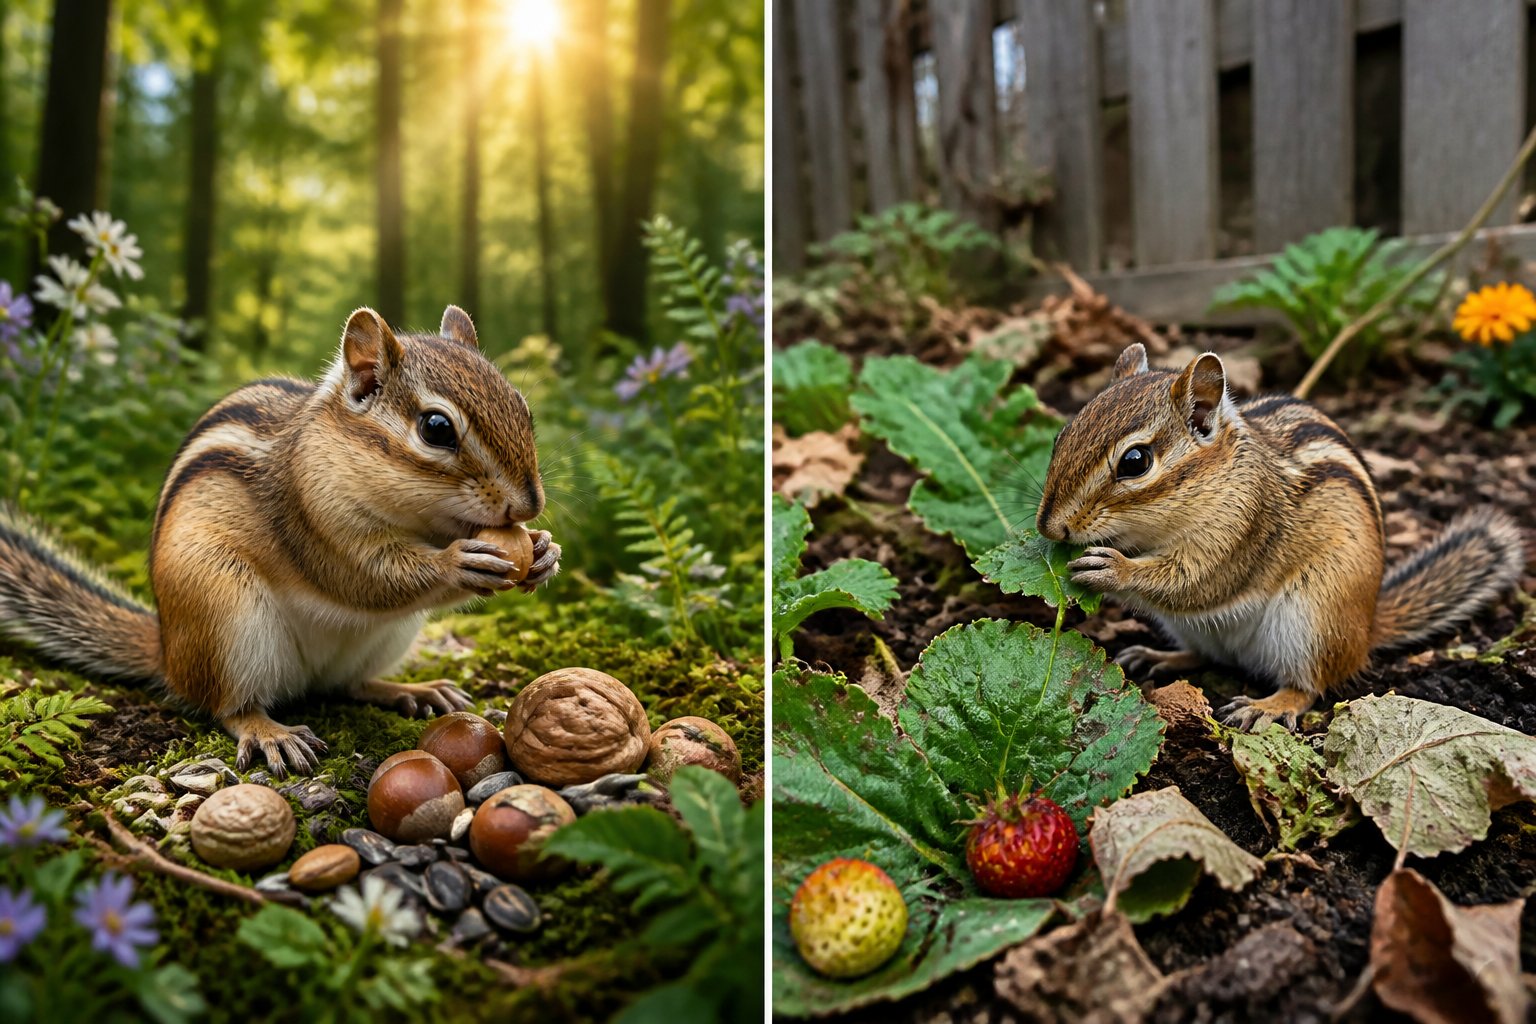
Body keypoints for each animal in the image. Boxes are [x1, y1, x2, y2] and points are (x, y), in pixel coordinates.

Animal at [0, 305, 561, 775]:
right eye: (437, 428)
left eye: (524, 408)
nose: (529, 505)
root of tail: (168, 652)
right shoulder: (312, 519)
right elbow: (369, 578)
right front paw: (458, 563)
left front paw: (544, 552)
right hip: (224, 612)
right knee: (227, 706)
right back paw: (270, 732)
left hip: (386, 638)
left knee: (349, 684)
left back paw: (412, 689)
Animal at [1037, 342, 1526, 730]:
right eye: (1061, 436)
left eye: (1135, 462)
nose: (1049, 527)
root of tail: (1367, 628)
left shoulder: (1243, 531)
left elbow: (1194, 582)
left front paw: (1111, 568)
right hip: (1197, 631)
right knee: (1208, 656)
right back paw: (1160, 658)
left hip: (1314, 617)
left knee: (1309, 686)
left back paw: (1268, 705)